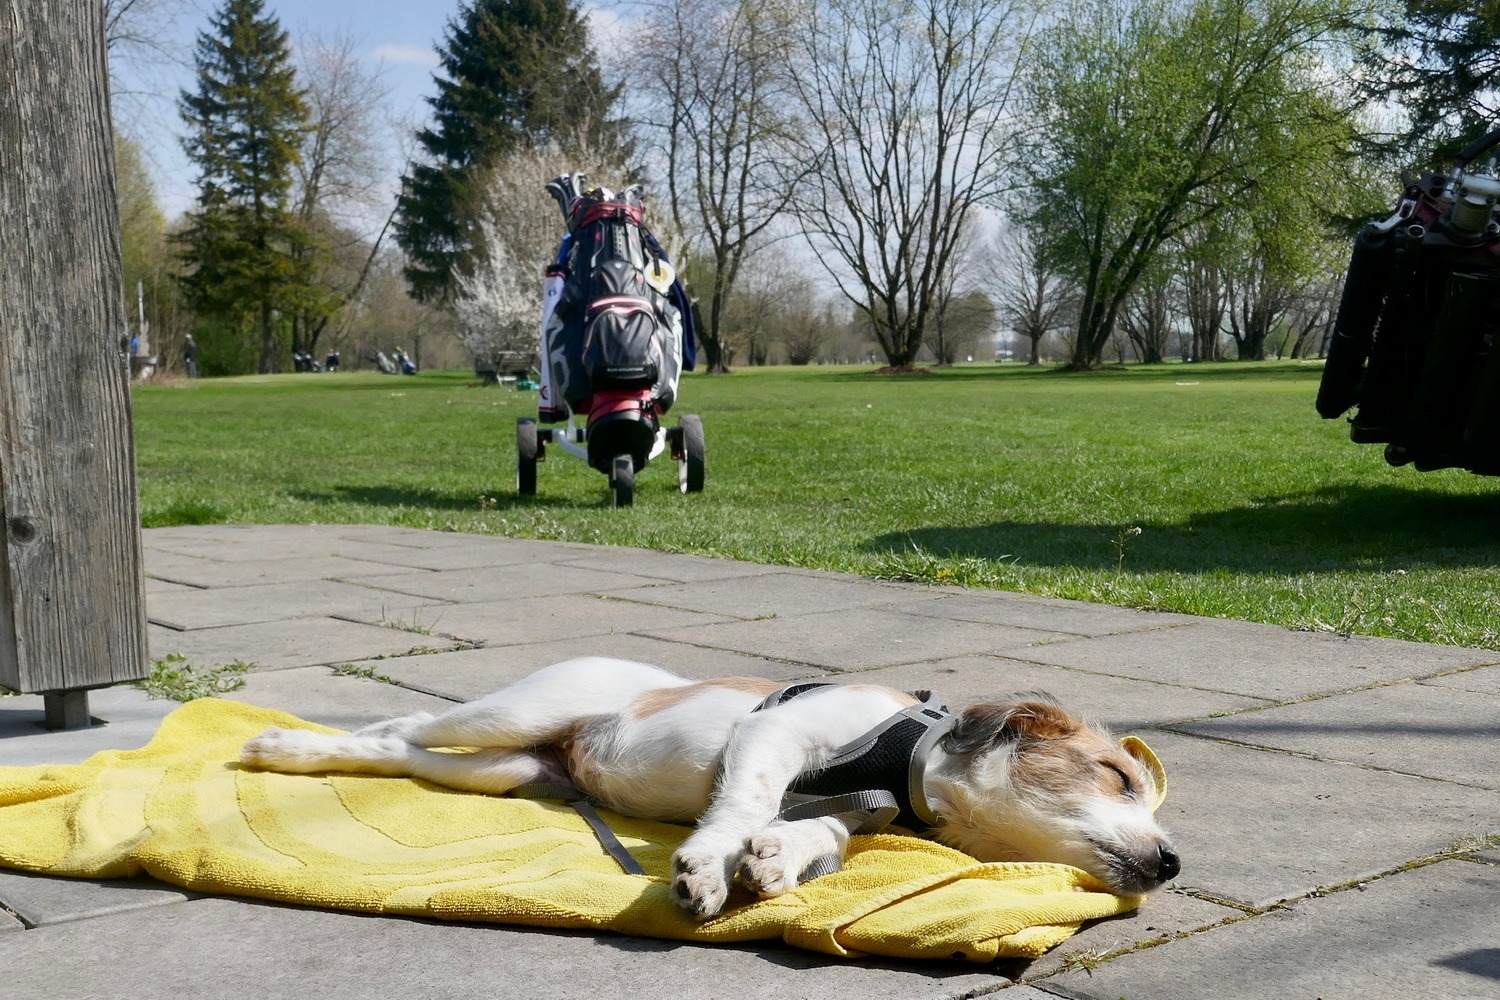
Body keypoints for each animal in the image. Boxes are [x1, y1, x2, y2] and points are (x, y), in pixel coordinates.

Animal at [240, 657, 1180, 919]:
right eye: (1117, 774)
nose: (1173, 864)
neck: (908, 764)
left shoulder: (850, 810)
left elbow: (819, 833)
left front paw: (776, 864)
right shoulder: (774, 736)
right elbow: (747, 801)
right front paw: (710, 863)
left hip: (500, 769)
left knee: (397, 755)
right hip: (503, 718)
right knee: (395, 728)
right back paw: (283, 744)